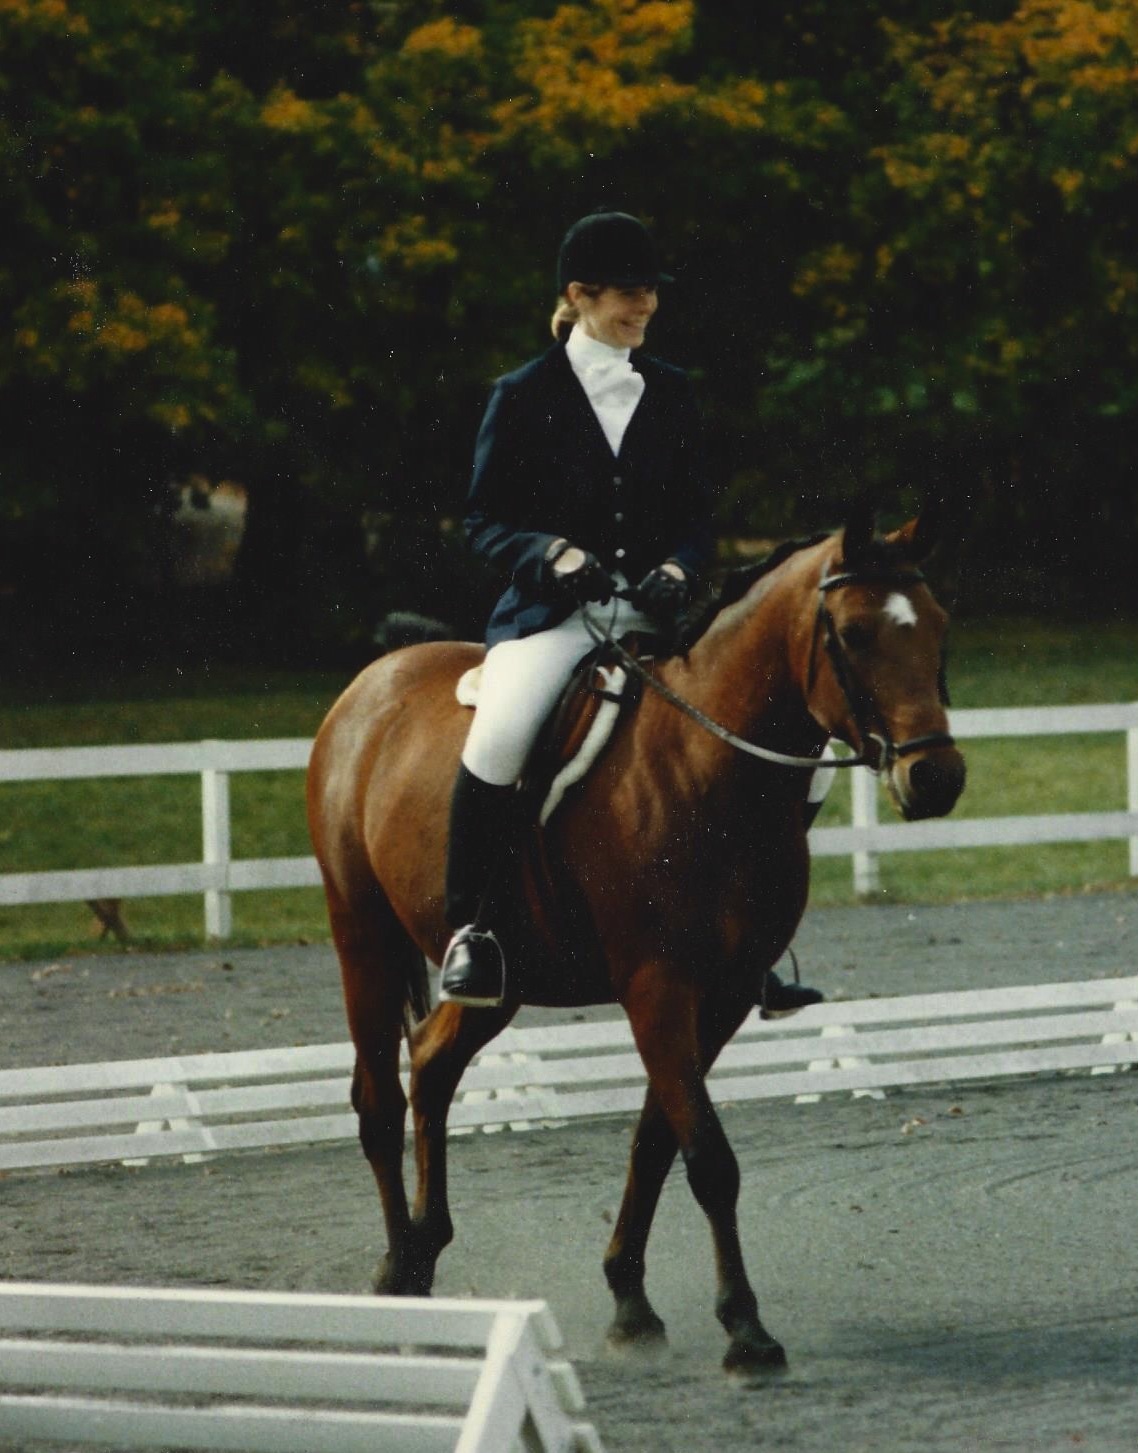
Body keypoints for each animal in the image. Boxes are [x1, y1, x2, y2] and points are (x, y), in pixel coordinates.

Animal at [306, 506, 966, 1371]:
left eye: (938, 625)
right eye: (853, 633)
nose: (938, 780)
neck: (709, 768)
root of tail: (371, 682)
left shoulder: (722, 994)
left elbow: (659, 1140)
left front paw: (631, 1304)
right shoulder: (658, 986)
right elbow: (710, 1157)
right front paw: (745, 1328)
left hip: (505, 977)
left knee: (435, 1064)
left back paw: (424, 1248)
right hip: (363, 934)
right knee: (380, 1097)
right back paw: (396, 1278)